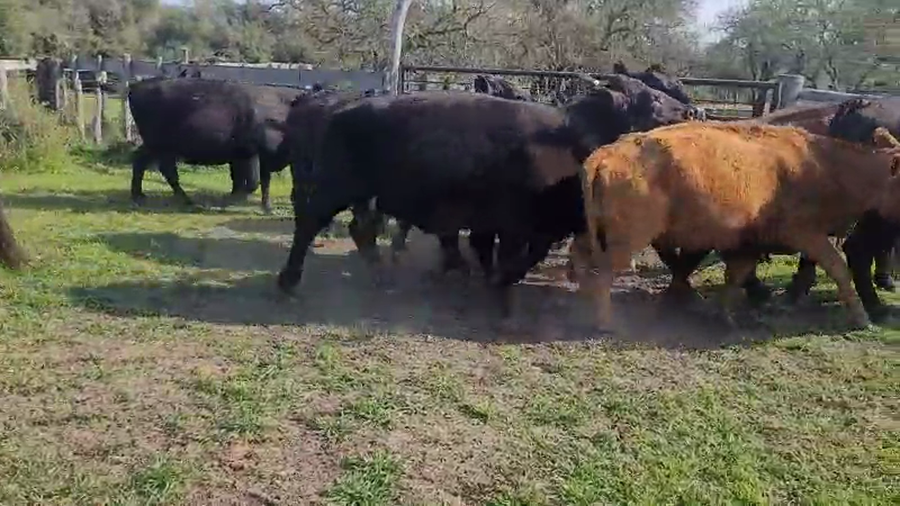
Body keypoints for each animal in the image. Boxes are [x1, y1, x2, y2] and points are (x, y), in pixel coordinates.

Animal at [128, 77, 304, 213]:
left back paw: (140, 196)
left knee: (142, 161)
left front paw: (266, 207)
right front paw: (226, 202)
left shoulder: (253, 158)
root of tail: (137, 86)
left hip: (156, 146)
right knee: (164, 169)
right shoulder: (251, 155)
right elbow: (251, 183)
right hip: (159, 146)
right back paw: (186, 200)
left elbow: (254, 182)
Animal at [276, 81, 699, 324]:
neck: (569, 137)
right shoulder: (518, 224)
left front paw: (481, 277)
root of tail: (341, 108)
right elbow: (511, 256)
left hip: (363, 195)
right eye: (651, 98)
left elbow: (490, 251)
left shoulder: (506, 224)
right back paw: (289, 281)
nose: (691, 109)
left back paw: (383, 277)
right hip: (336, 187)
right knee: (310, 223)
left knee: (361, 229)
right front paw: (499, 288)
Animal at [572, 121, 900, 332]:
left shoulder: (748, 244)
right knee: (604, 273)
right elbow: (838, 268)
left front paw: (724, 317)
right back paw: (607, 324)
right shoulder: (808, 235)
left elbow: (735, 276)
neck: (824, 165)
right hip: (628, 240)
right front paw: (861, 317)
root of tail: (606, 153)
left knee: (582, 259)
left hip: (597, 233)